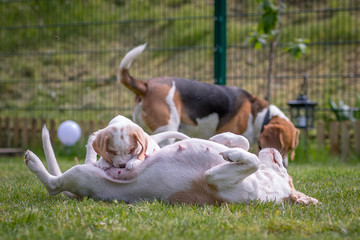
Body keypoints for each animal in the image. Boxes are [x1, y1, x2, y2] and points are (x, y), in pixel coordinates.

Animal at [24, 116, 318, 204]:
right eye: (287, 172)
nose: (277, 153)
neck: (267, 187)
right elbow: (241, 142)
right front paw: (230, 144)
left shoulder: (216, 179)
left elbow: (250, 161)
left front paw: (233, 156)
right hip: (88, 168)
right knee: (93, 156)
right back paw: (94, 140)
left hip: (79, 175)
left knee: (53, 184)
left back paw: (33, 161)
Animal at [117, 45, 298, 169]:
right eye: (284, 147)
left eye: (291, 149)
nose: (285, 165)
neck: (257, 114)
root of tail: (146, 86)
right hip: (167, 127)